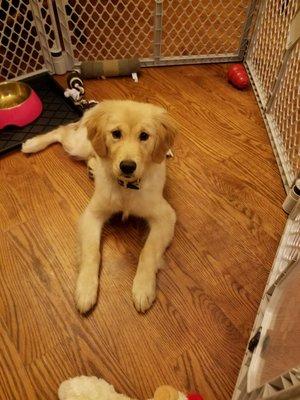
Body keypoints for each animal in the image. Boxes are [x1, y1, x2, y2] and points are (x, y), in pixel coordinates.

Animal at [24, 100, 178, 312]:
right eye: (116, 133)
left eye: (144, 136)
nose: (127, 166)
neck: (126, 187)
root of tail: (100, 104)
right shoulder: (92, 214)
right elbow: (92, 252)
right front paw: (85, 289)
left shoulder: (165, 216)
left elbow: (148, 252)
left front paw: (143, 288)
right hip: (79, 144)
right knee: (62, 131)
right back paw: (31, 144)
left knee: (90, 154)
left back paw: (93, 167)